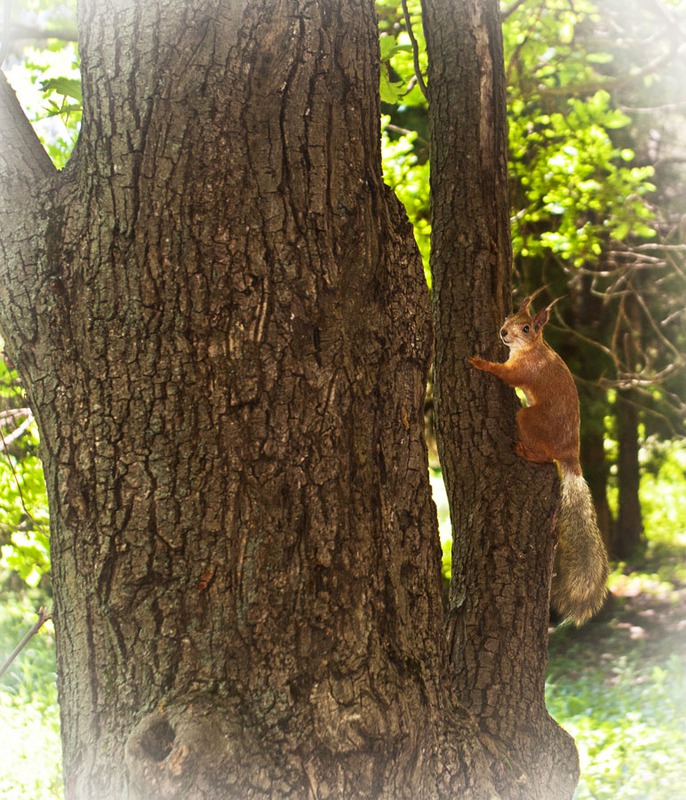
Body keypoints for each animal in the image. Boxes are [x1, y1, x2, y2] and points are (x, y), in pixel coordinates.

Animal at [470, 288, 612, 624]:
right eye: (509, 315)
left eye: (527, 328)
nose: (503, 333)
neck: (533, 349)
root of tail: (570, 454)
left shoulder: (522, 371)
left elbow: (505, 374)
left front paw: (480, 362)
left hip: (528, 420)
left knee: (545, 458)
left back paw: (526, 451)